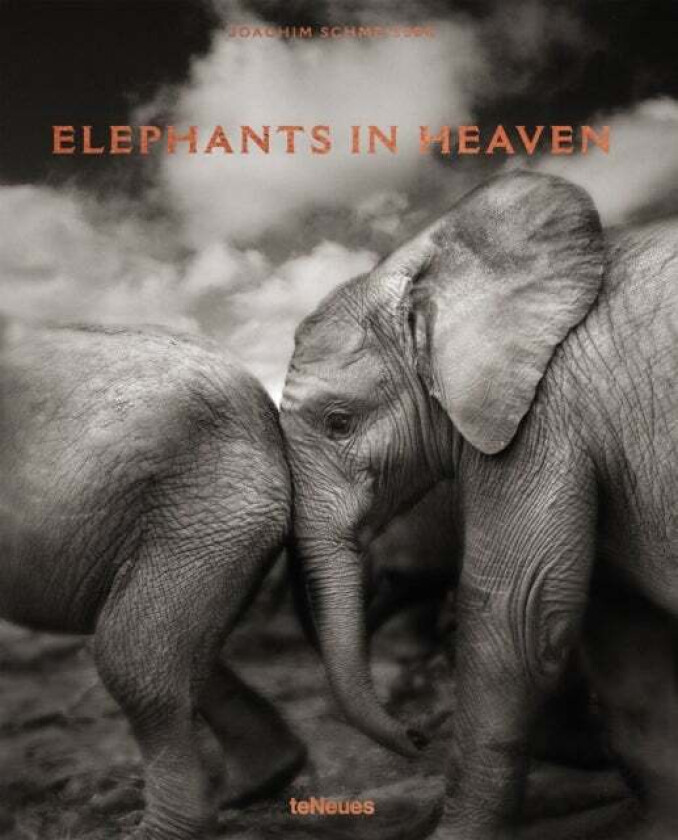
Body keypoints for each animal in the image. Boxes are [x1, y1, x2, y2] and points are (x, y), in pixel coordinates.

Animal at [0, 321, 306, 839]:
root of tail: (267, 415)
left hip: (203, 515)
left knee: (131, 658)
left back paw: (157, 828)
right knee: (177, 654)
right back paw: (257, 783)